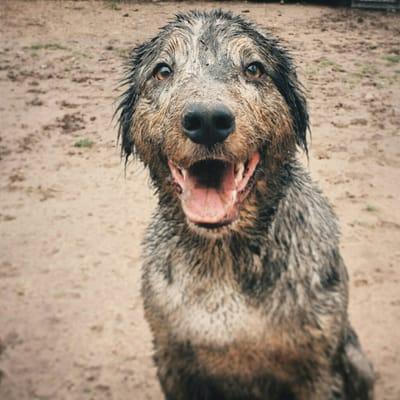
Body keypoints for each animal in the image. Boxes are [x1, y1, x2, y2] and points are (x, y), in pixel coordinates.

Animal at [117, 9, 374, 400]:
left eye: (253, 68)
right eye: (162, 70)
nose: (207, 120)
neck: (223, 260)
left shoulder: (319, 367)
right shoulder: (173, 360)